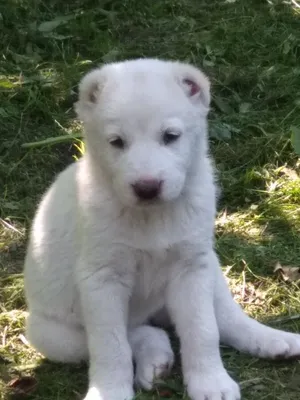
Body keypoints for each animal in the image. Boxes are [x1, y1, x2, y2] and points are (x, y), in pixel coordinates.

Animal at [22, 58, 300, 400]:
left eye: (170, 136)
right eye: (116, 142)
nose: (147, 187)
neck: (151, 217)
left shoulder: (191, 268)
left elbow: (203, 329)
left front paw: (211, 381)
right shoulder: (102, 279)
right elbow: (110, 346)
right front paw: (110, 391)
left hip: (209, 266)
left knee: (226, 317)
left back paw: (272, 340)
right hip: (54, 334)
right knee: (136, 333)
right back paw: (156, 356)